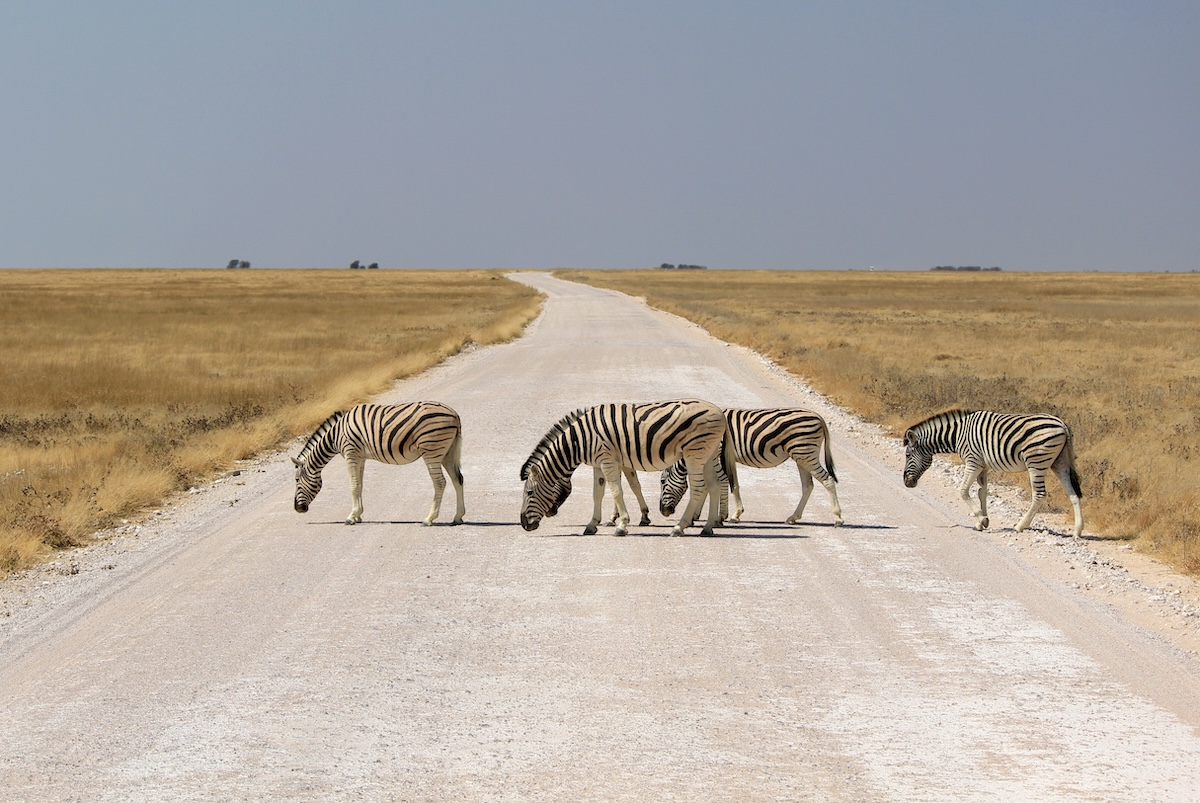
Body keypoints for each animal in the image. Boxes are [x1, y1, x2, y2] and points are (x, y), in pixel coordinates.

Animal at [292, 400, 465, 525]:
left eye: (297, 480)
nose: (297, 509)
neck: (336, 435)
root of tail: (454, 413)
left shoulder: (351, 453)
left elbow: (353, 486)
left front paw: (351, 517)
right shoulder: (360, 457)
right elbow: (360, 485)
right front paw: (358, 515)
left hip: (432, 450)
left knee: (440, 482)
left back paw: (429, 519)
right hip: (448, 452)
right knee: (458, 479)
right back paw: (458, 516)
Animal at [523, 398, 734, 535]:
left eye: (529, 493)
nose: (524, 524)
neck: (580, 440)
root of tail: (719, 412)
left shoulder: (608, 459)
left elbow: (617, 491)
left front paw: (621, 525)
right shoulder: (601, 463)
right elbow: (599, 493)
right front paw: (593, 524)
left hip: (695, 453)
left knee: (699, 488)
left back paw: (679, 527)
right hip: (709, 454)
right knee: (714, 486)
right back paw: (707, 527)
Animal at [657, 408, 844, 525]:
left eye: (662, 482)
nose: (663, 512)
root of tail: (817, 416)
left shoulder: (717, 454)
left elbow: (720, 483)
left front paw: (723, 516)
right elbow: (731, 485)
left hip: (805, 453)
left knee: (827, 480)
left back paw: (837, 518)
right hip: (801, 455)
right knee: (808, 486)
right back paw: (793, 517)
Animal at [902, 410, 1089, 535]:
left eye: (907, 455)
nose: (906, 482)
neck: (957, 435)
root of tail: (1062, 424)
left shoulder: (973, 462)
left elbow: (963, 491)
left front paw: (981, 519)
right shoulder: (983, 465)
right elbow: (982, 492)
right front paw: (982, 522)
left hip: (1036, 461)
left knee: (1040, 494)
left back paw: (1020, 526)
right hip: (1060, 462)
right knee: (1072, 493)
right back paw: (1078, 530)